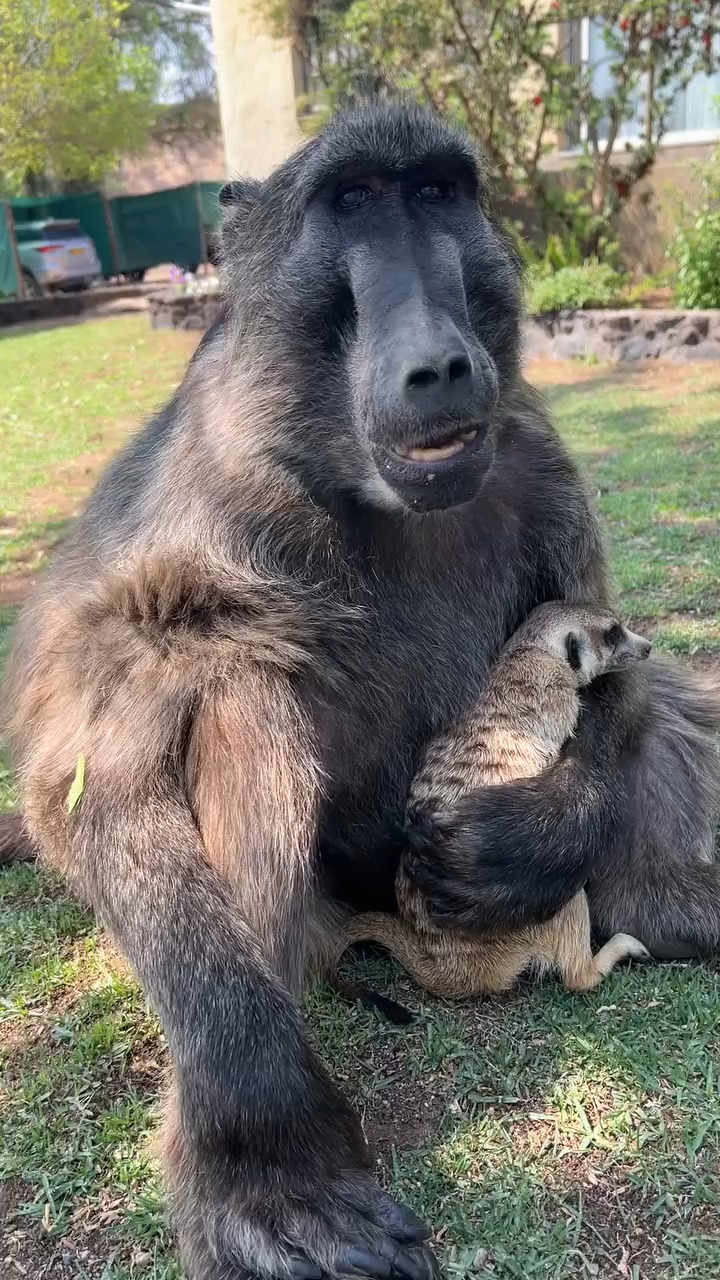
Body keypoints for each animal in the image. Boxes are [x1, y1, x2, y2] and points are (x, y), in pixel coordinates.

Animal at [330, 603, 653, 1001]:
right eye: (612, 634)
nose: (648, 647)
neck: (530, 653)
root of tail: (454, 969)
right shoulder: (559, 696)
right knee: (574, 962)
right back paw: (612, 953)